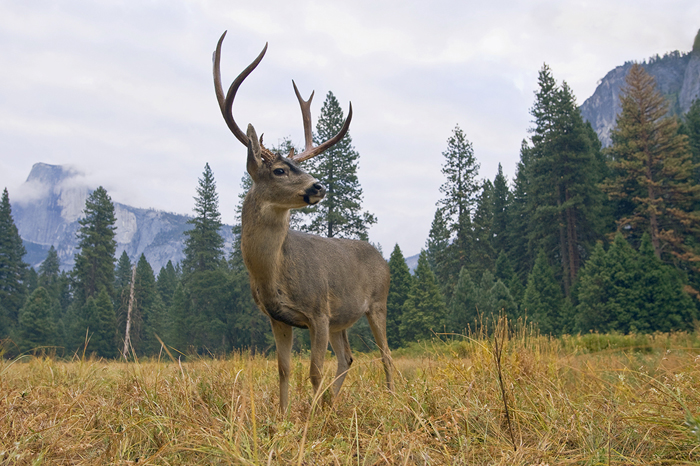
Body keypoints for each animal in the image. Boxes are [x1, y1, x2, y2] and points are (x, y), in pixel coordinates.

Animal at [211, 31, 396, 412]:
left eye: (297, 166)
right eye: (280, 170)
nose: (318, 186)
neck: (272, 272)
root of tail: (383, 257)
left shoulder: (317, 311)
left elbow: (313, 371)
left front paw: (309, 418)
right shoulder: (278, 317)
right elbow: (283, 370)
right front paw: (284, 416)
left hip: (377, 303)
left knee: (385, 354)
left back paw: (389, 399)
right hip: (342, 318)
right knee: (348, 357)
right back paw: (332, 404)